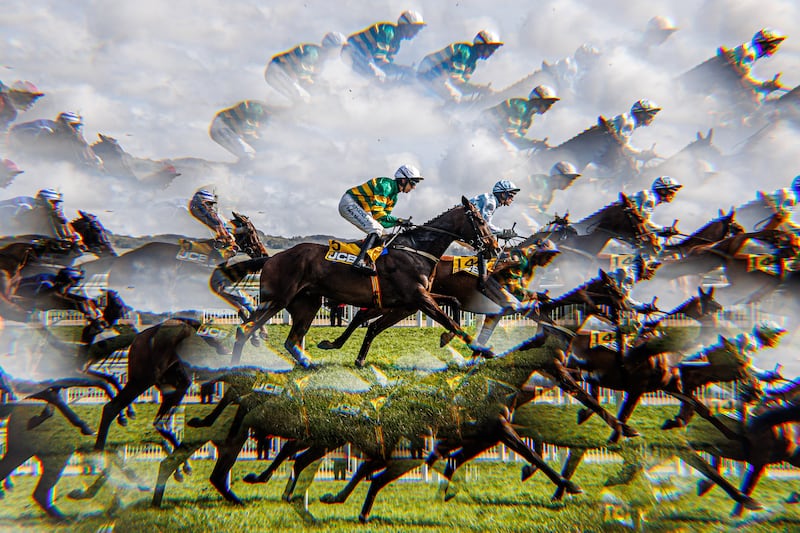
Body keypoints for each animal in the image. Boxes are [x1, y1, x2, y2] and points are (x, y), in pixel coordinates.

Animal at [228, 197, 500, 368]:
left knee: (292, 340)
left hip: (307, 303)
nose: (494, 247)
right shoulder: (417, 297)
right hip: (276, 300)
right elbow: (450, 321)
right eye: (480, 221)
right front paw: (484, 350)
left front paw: (448, 339)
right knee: (245, 330)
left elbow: (453, 304)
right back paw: (234, 367)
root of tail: (272, 258)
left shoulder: (410, 301)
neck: (416, 249)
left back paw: (309, 364)